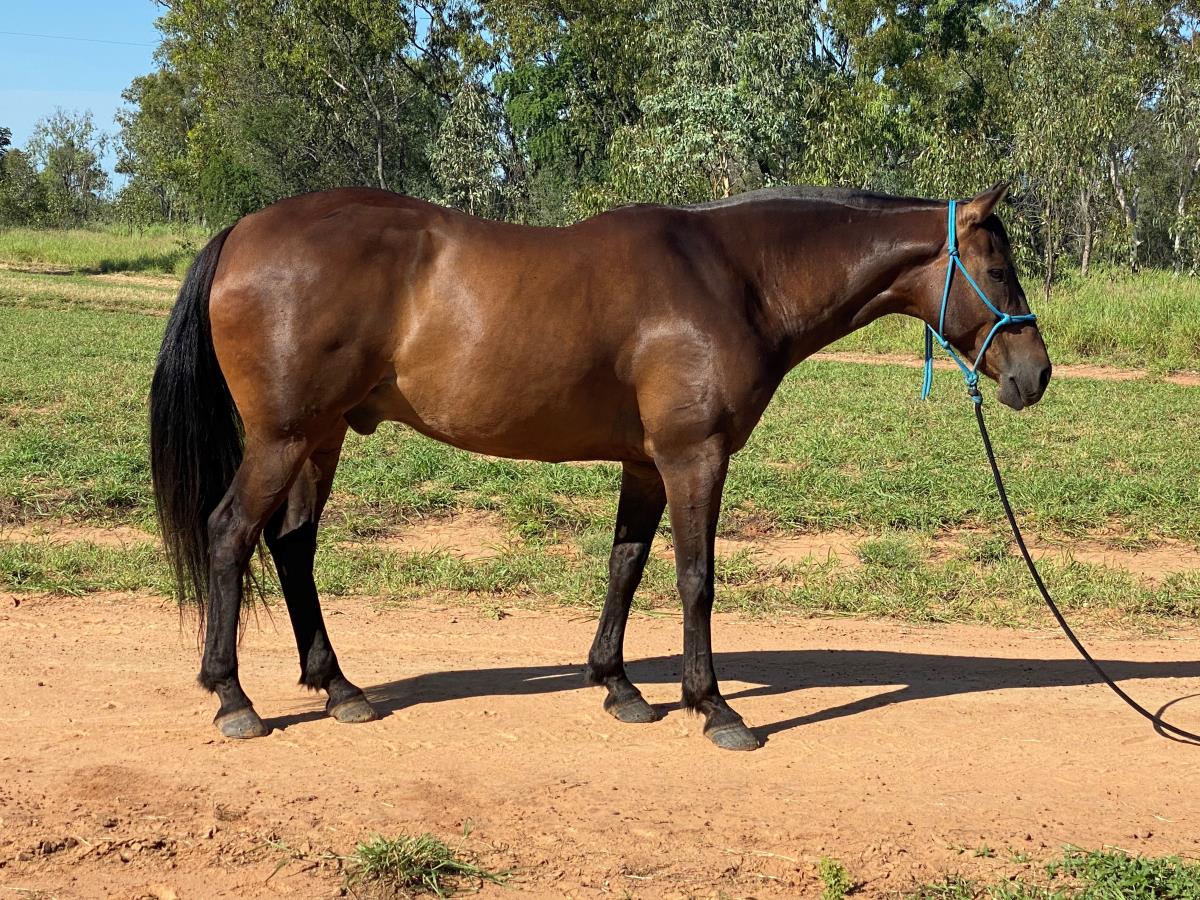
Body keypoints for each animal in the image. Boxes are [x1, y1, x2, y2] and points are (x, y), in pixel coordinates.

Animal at [149, 182, 1051, 751]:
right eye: (999, 269)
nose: (1035, 375)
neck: (736, 279)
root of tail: (243, 232)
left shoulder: (646, 465)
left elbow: (626, 565)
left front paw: (618, 687)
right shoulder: (694, 457)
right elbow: (695, 578)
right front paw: (713, 706)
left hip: (323, 436)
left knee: (292, 546)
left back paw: (339, 689)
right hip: (282, 438)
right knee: (230, 534)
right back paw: (233, 697)